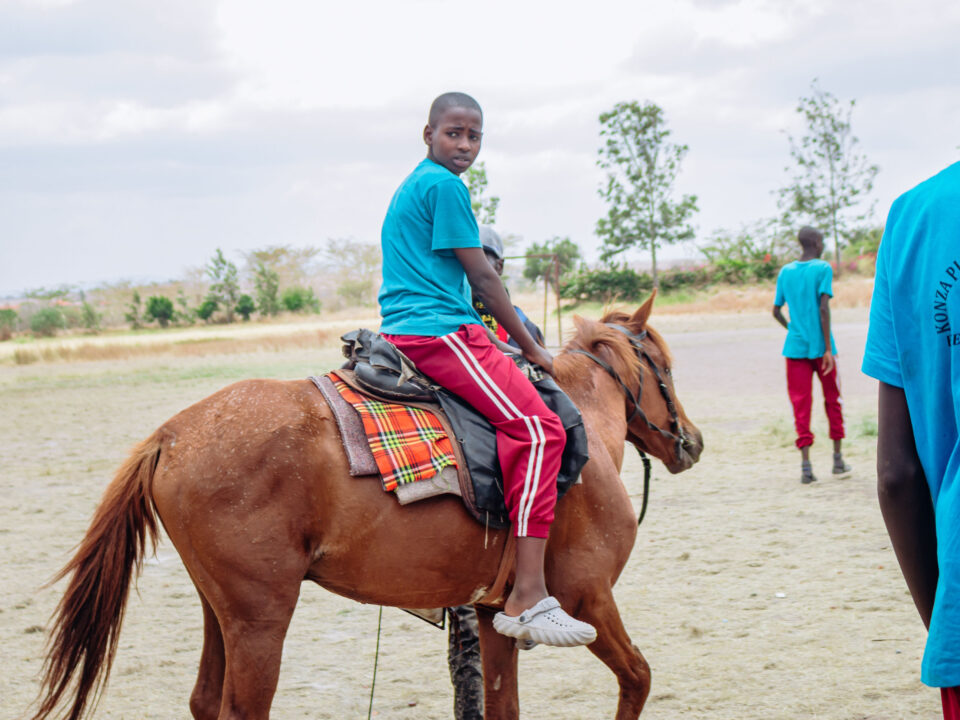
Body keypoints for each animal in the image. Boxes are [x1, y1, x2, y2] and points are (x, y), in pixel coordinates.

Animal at [31, 293, 703, 720]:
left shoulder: (493, 616)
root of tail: (171, 434)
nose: (690, 441)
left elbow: (503, 706)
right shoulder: (589, 596)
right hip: (260, 619)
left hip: (218, 609)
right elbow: (638, 677)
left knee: (202, 701)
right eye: (666, 368)